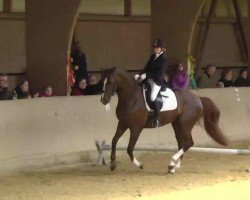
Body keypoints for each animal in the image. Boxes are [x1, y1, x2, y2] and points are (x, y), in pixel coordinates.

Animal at [100, 67, 228, 173]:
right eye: (102, 82)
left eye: (110, 82)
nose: (103, 100)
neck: (132, 98)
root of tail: (198, 99)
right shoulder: (122, 123)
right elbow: (114, 141)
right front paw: (112, 163)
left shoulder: (136, 128)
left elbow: (129, 148)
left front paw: (139, 165)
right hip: (177, 125)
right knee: (182, 143)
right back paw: (174, 167)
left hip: (185, 125)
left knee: (188, 143)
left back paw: (172, 163)